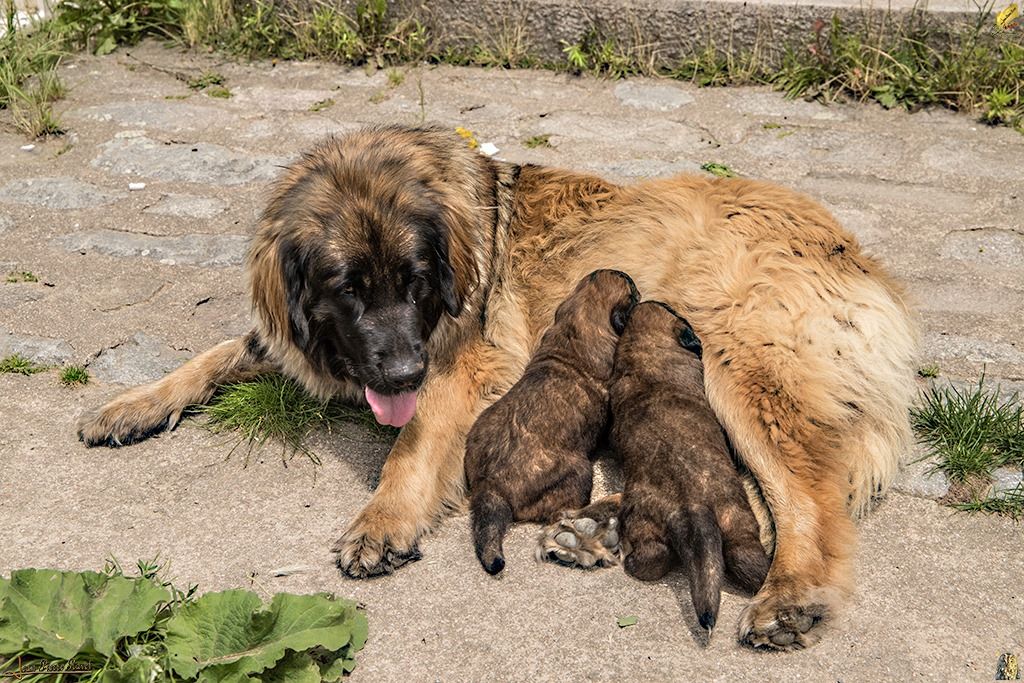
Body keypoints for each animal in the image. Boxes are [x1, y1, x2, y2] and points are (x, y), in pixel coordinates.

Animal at [466, 270, 638, 573]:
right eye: (630, 288)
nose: (637, 285)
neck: (577, 326)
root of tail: (491, 485)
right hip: (580, 471)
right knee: (566, 513)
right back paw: (610, 504)